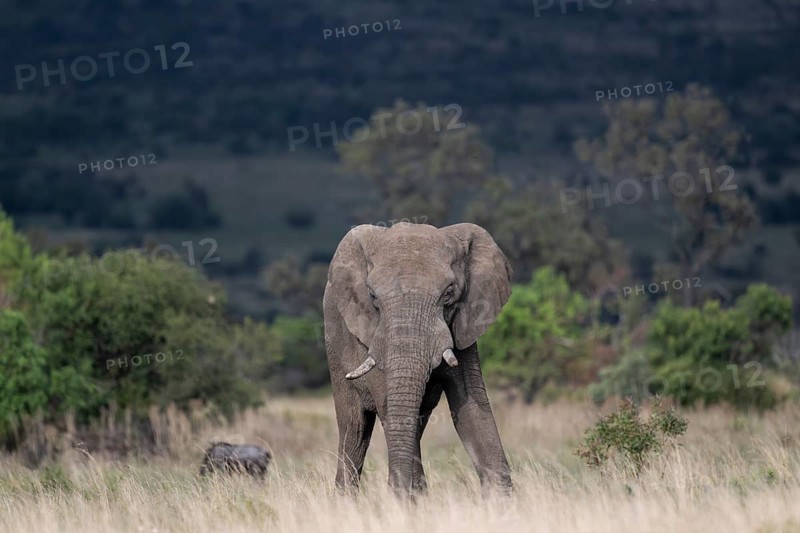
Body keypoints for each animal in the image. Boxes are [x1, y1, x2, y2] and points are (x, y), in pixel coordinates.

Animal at [323, 222, 513, 495]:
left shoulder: (463, 327)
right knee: (354, 429)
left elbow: (472, 405)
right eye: (372, 296)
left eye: (449, 293)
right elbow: (391, 410)